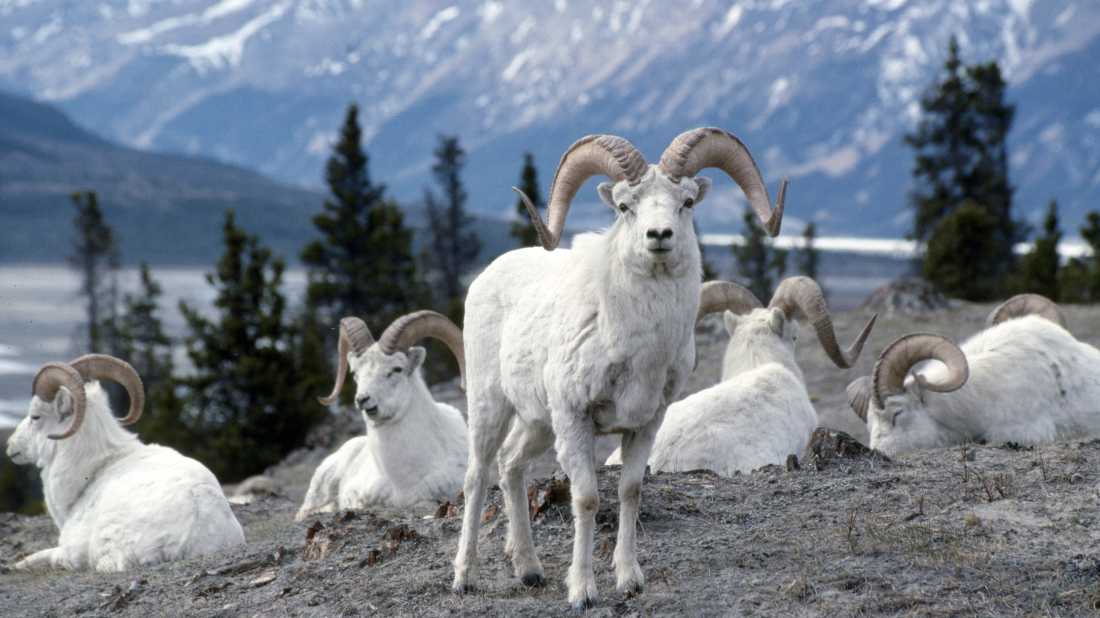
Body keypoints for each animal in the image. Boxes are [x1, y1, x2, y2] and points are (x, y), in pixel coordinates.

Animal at [452, 127, 786, 608]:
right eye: (626, 206)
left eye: (686, 202)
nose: (659, 234)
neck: (636, 344)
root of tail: (487, 276)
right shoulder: (575, 420)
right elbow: (588, 500)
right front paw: (582, 591)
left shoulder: (644, 424)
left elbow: (630, 492)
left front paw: (629, 581)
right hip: (490, 406)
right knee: (477, 476)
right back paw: (464, 577)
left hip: (538, 423)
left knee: (511, 466)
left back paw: (529, 570)